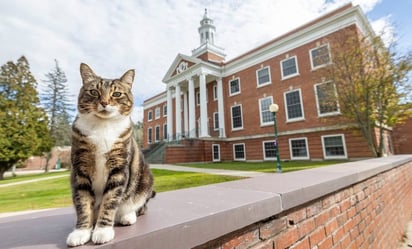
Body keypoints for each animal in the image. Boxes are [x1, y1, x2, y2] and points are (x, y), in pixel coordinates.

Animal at [67, 63, 155, 246]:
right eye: (94, 91)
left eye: (117, 93)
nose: (104, 102)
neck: (103, 126)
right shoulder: (80, 169)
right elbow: (83, 203)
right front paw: (81, 231)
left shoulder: (119, 167)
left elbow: (110, 200)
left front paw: (102, 230)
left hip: (145, 180)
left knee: (140, 206)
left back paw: (127, 216)